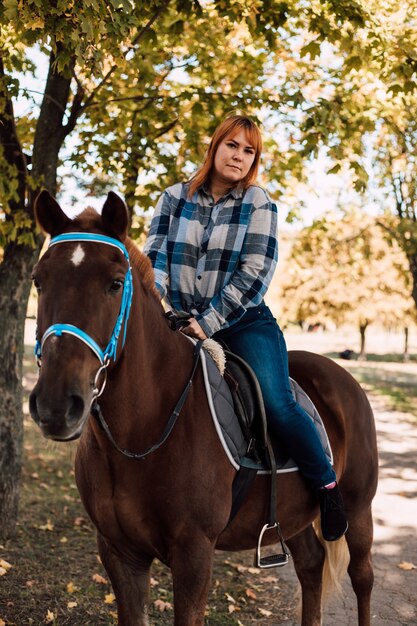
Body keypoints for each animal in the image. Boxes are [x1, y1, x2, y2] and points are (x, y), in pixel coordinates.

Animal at [30, 190, 376, 624]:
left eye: (114, 284)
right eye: (38, 280)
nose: (56, 405)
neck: (144, 431)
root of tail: (342, 376)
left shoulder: (194, 556)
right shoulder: (119, 554)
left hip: (359, 508)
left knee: (362, 577)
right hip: (296, 516)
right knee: (311, 567)